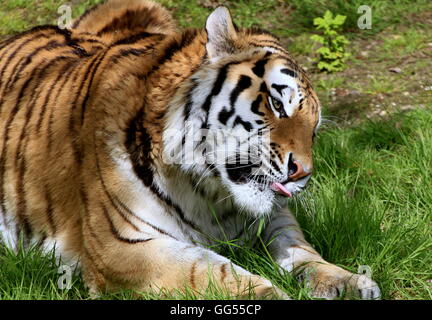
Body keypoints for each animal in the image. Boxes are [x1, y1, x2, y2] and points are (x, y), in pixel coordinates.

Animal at [0, 0, 380, 300]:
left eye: (313, 130)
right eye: (276, 104)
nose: (303, 174)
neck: (212, 194)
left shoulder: (273, 216)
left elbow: (301, 250)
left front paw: (349, 281)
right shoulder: (121, 247)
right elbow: (211, 270)